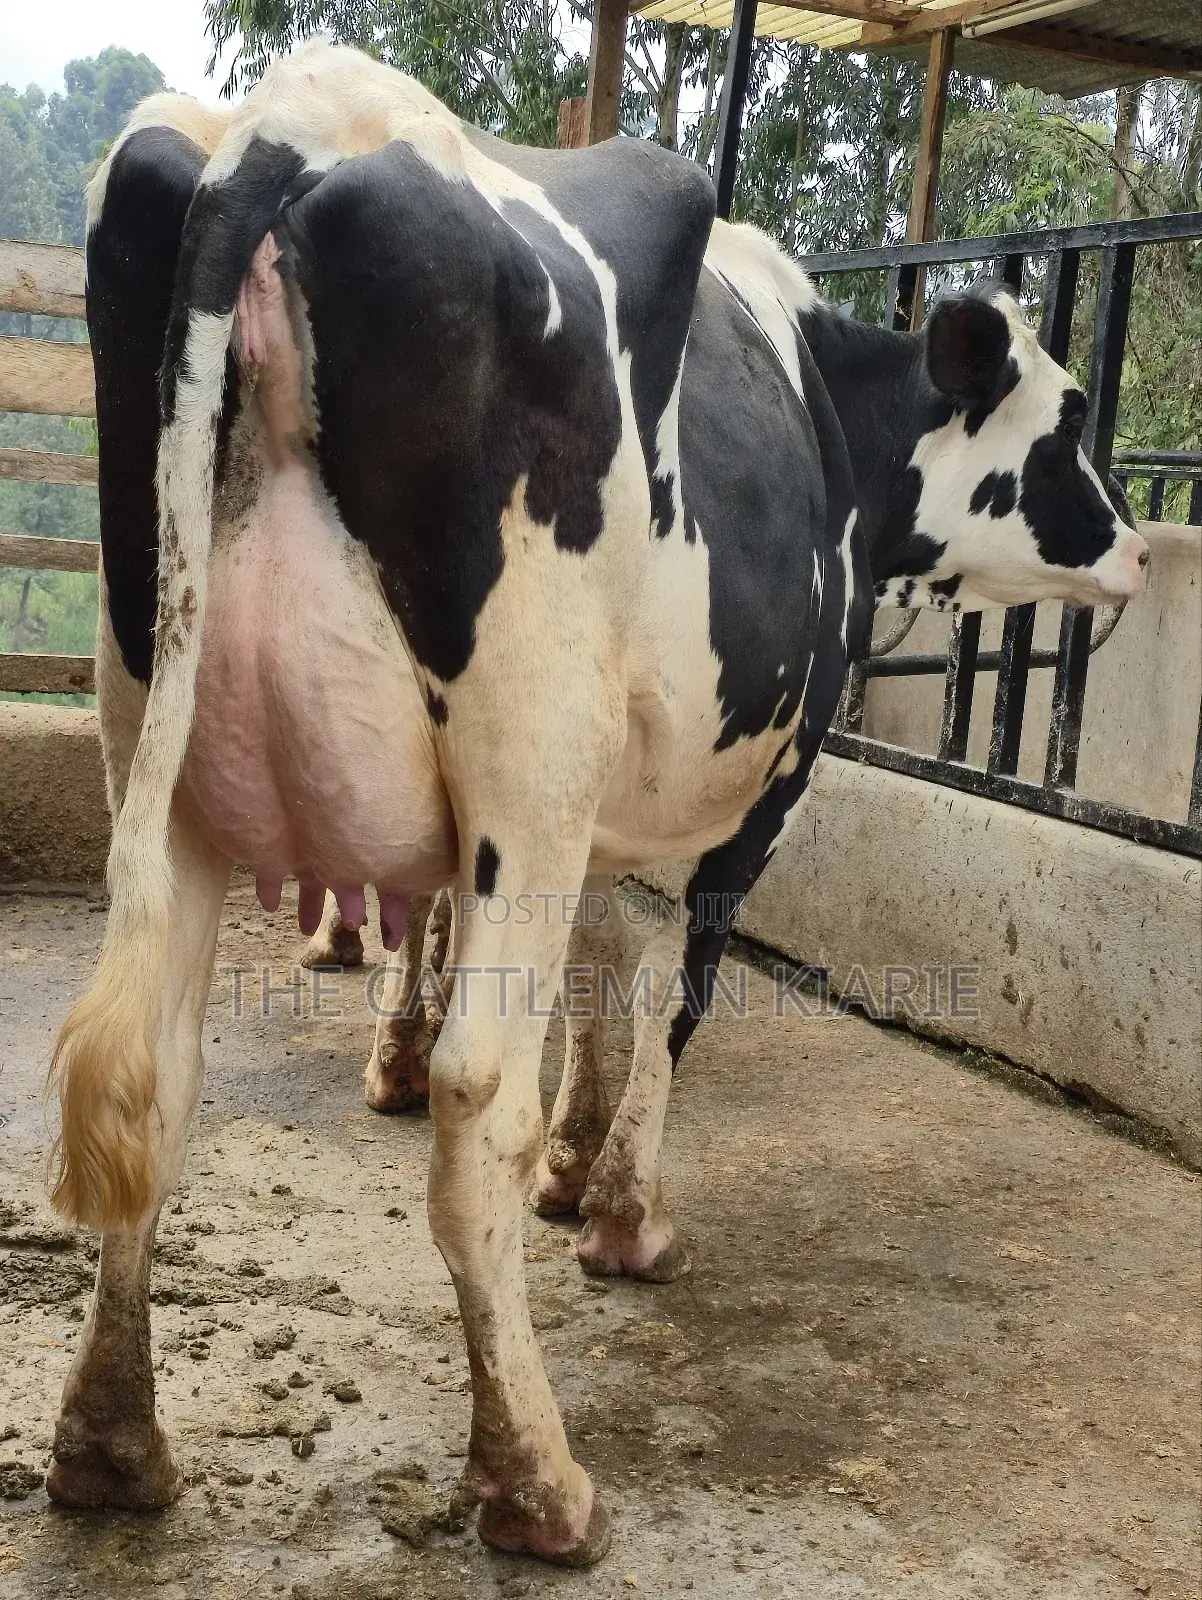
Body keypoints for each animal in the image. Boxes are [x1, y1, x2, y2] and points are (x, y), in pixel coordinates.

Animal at [45, 42, 1146, 1568]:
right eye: (1069, 420)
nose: (1139, 547)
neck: (831, 403)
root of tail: (294, 126)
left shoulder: (600, 808)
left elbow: (597, 960)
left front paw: (574, 1160)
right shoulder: (763, 787)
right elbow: (674, 983)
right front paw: (621, 1213)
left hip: (162, 724)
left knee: (155, 1074)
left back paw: (110, 1444)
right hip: (528, 743)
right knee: (469, 1101)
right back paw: (534, 1477)